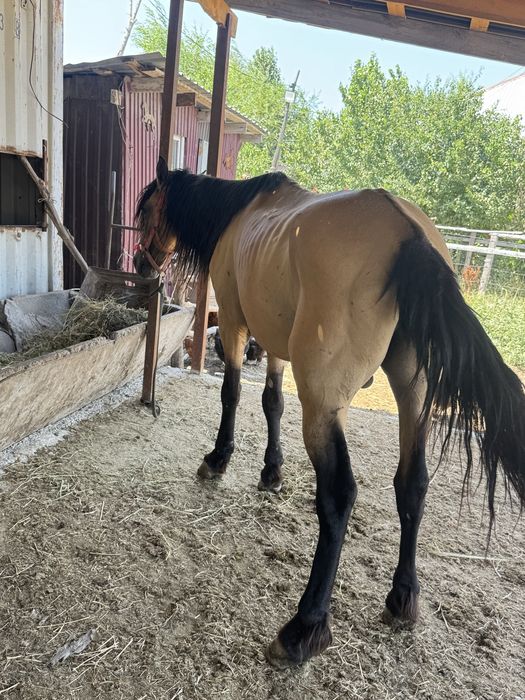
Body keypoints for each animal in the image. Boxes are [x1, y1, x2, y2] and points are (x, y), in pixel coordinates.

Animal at [134, 158, 525, 668]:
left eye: (146, 210)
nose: (140, 264)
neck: (240, 213)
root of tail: (409, 234)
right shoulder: (276, 344)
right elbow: (272, 402)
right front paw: (272, 471)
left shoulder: (237, 324)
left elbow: (233, 393)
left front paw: (218, 459)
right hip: (413, 397)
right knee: (413, 483)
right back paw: (403, 598)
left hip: (323, 405)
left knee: (339, 495)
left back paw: (305, 626)